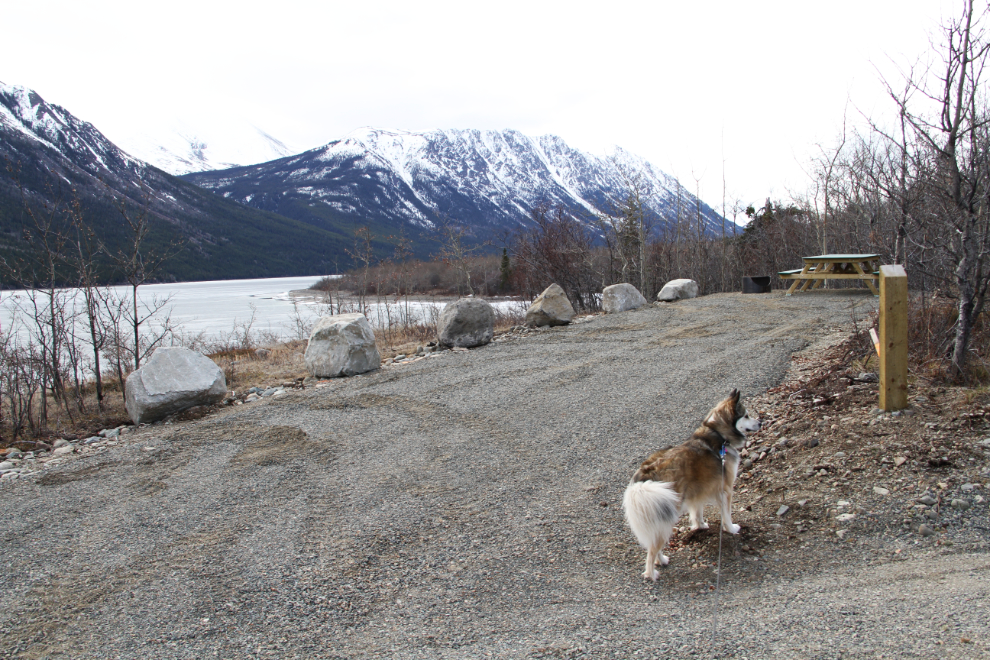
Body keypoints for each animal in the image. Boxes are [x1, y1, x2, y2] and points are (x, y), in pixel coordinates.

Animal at [624, 390, 764, 580]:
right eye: (746, 415)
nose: (760, 422)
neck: (719, 434)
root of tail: (646, 474)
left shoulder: (698, 492)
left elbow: (697, 512)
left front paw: (700, 526)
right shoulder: (726, 490)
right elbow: (727, 515)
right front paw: (731, 529)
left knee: (654, 541)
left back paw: (662, 560)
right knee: (652, 550)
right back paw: (651, 574)